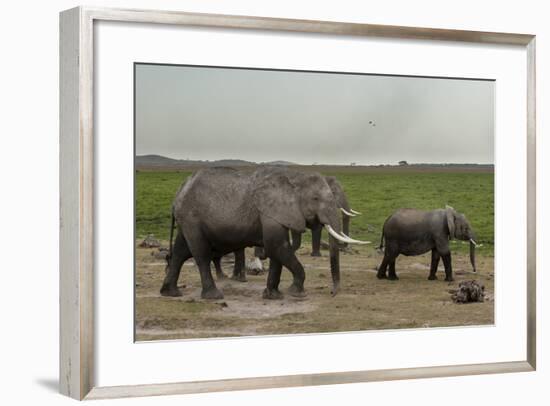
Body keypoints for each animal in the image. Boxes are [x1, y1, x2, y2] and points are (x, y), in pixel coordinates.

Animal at [160, 167, 368, 300]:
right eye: (315, 198)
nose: (332, 293)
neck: (293, 178)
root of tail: (178, 193)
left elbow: (277, 250)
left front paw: (273, 296)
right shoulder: (270, 211)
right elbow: (276, 246)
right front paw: (297, 293)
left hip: (188, 219)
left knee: (180, 252)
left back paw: (170, 293)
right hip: (192, 218)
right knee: (200, 254)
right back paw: (213, 296)